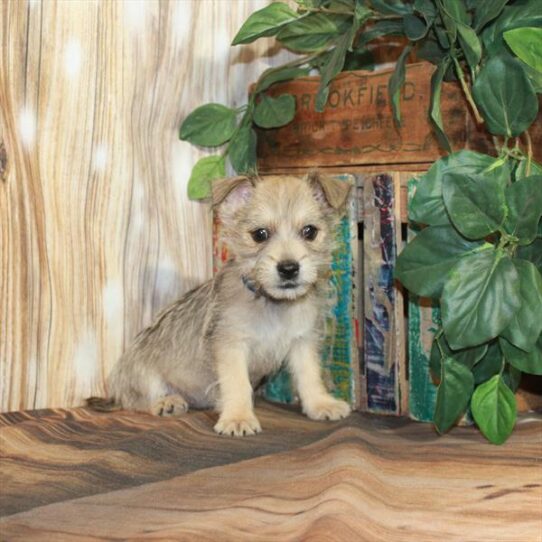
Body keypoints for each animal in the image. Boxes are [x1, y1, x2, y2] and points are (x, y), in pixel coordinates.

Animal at [88, 172, 352, 436]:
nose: (289, 268)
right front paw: (238, 418)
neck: (272, 304)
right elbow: (238, 384)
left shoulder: (302, 343)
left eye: (309, 232)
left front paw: (320, 403)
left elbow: (310, 376)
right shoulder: (231, 346)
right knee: (136, 400)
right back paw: (165, 402)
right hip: (142, 375)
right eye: (260, 234)